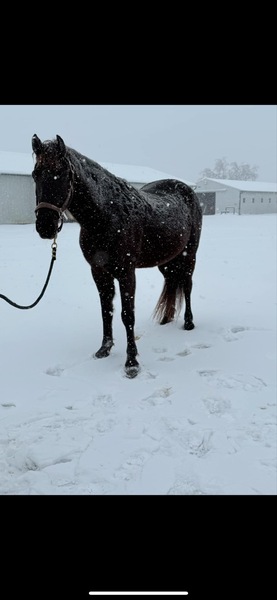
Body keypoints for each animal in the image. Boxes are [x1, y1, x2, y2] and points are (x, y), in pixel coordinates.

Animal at [31, 137, 201, 380]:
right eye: (35, 174)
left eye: (61, 174)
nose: (45, 226)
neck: (105, 216)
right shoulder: (98, 271)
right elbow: (106, 310)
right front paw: (104, 349)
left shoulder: (126, 273)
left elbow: (127, 315)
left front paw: (131, 363)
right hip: (166, 262)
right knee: (171, 282)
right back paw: (166, 319)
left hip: (189, 256)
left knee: (187, 285)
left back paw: (188, 322)